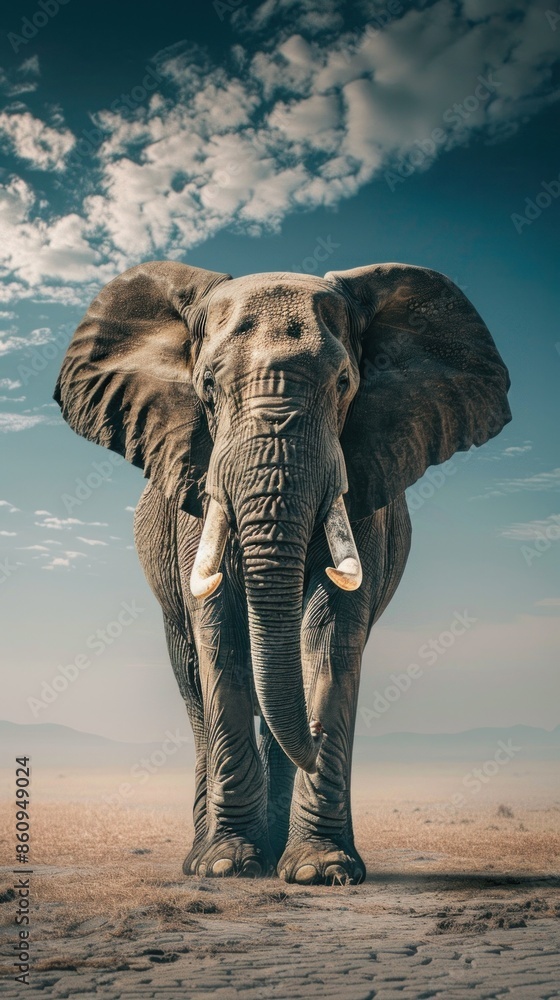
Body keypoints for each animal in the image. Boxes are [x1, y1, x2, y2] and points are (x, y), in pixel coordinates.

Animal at [54, 260, 511, 885]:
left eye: (344, 383)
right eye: (207, 387)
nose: (315, 737)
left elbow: (332, 632)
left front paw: (321, 870)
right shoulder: (198, 486)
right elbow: (218, 629)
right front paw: (226, 864)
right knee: (194, 681)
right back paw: (213, 854)